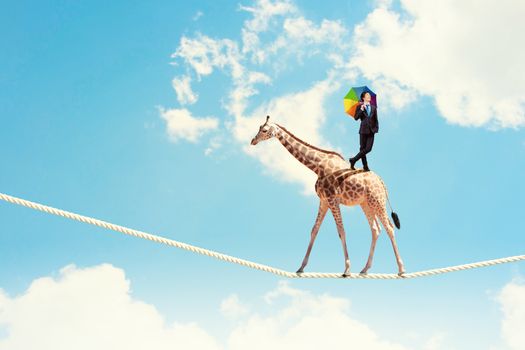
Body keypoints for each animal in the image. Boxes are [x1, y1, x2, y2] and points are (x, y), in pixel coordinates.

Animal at [250, 115, 406, 276]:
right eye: (259, 127)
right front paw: (301, 268)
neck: (317, 166)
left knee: (389, 227)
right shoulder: (324, 200)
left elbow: (341, 231)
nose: (253, 141)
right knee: (376, 229)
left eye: (264, 130)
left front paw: (347, 269)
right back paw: (364, 269)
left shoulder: (332, 199)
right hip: (366, 203)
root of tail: (382, 182)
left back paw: (401, 269)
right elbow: (314, 230)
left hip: (377, 201)